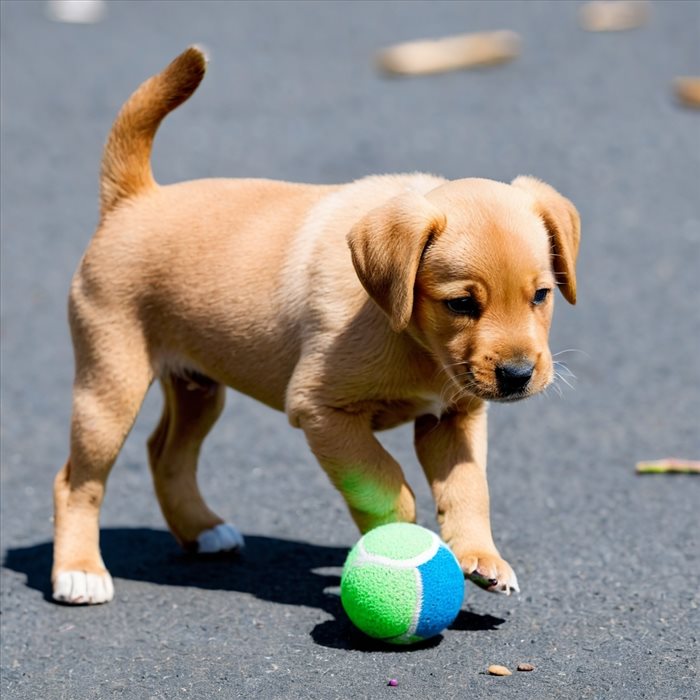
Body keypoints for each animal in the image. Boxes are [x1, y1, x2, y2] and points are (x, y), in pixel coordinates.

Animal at [53, 47, 580, 600]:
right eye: (459, 304)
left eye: (541, 296)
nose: (519, 376)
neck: (410, 336)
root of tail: (135, 198)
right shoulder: (322, 411)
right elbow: (385, 482)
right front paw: (397, 547)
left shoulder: (453, 417)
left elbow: (468, 488)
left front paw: (480, 557)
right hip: (110, 384)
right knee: (77, 480)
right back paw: (80, 572)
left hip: (198, 385)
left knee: (166, 453)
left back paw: (200, 529)